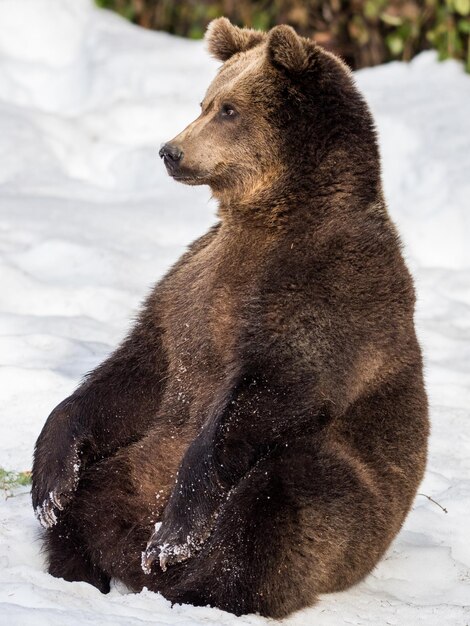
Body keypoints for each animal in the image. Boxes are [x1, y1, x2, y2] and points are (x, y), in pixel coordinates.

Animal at [31, 17, 430, 616]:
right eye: (206, 100)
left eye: (229, 109)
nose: (170, 150)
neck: (272, 215)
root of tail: (126, 545)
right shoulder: (189, 286)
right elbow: (136, 370)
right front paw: (50, 482)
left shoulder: (329, 289)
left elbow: (273, 388)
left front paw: (176, 533)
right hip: (130, 466)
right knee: (88, 505)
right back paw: (81, 564)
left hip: (348, 506)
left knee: (281, 503)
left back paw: (195, 583)